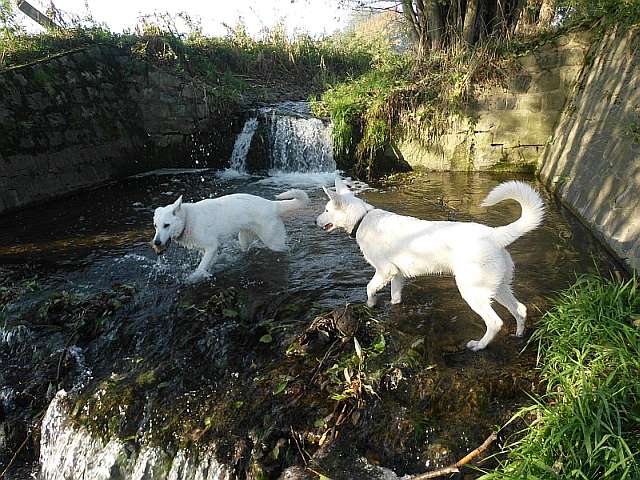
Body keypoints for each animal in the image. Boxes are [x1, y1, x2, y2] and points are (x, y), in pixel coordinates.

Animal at [151, 189, 308, 284]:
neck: (187, 219)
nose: (156, 242)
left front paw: (193, 278)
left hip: (274, 242)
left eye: (166, 225)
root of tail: (274, 205)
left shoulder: (212, 246)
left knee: (285, 249)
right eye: (155, 226)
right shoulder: (207, 250)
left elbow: (200, 268)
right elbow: (208, 263)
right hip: (244, 238)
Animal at [318, 178, 544, 350]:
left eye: (327, 210)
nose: (314, 222)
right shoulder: (397, 276)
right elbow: (395, 298)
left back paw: (479, 345)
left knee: (495, 322)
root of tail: (494, 234)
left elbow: (369, 288)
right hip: (497, 287)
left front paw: (370, 305)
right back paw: (519, 335)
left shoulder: (384, 271)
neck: (362, 219)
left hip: (473, 292)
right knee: (521, 309)